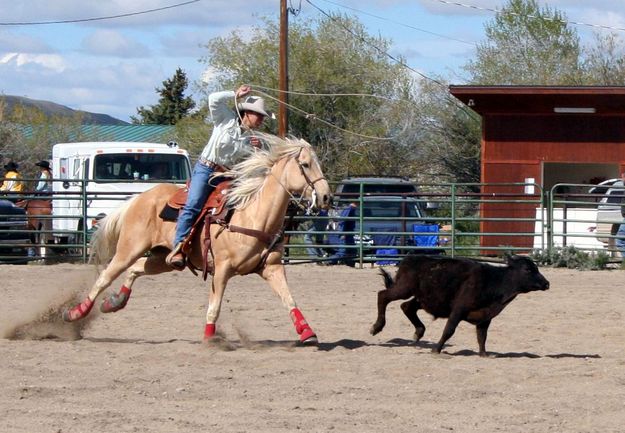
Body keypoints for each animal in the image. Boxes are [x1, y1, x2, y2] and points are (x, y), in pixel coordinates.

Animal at [63, 136, 332, 344]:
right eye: (305, 165)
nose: (326, 197)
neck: (254, 214)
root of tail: (139, 197)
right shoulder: (222, 269)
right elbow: (215, 307)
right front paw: (210, 339)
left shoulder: (272, 268)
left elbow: (289, 299)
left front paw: (307, 333)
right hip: (129, 248)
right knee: (105, 277)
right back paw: (75, 313)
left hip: (163, 258)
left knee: (136, 269)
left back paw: (116, 302)